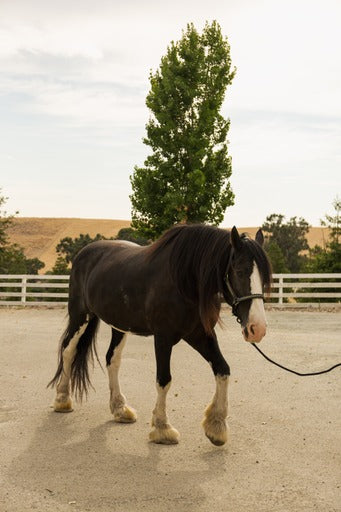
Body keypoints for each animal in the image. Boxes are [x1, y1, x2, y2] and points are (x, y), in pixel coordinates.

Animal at [48, 224, 270, 444]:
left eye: (265, 277)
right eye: (239, 271)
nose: (257, 328)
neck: (185, 281)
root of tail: (84, 253)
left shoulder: (200, 334)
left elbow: (222, 369)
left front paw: (216, 425)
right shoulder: (163, 337)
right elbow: (164, 380)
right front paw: (162, 428)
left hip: (119, 325)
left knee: (112, 359)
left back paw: (120, 408)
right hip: (80, 316)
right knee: (68, 351)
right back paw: (62, 399)